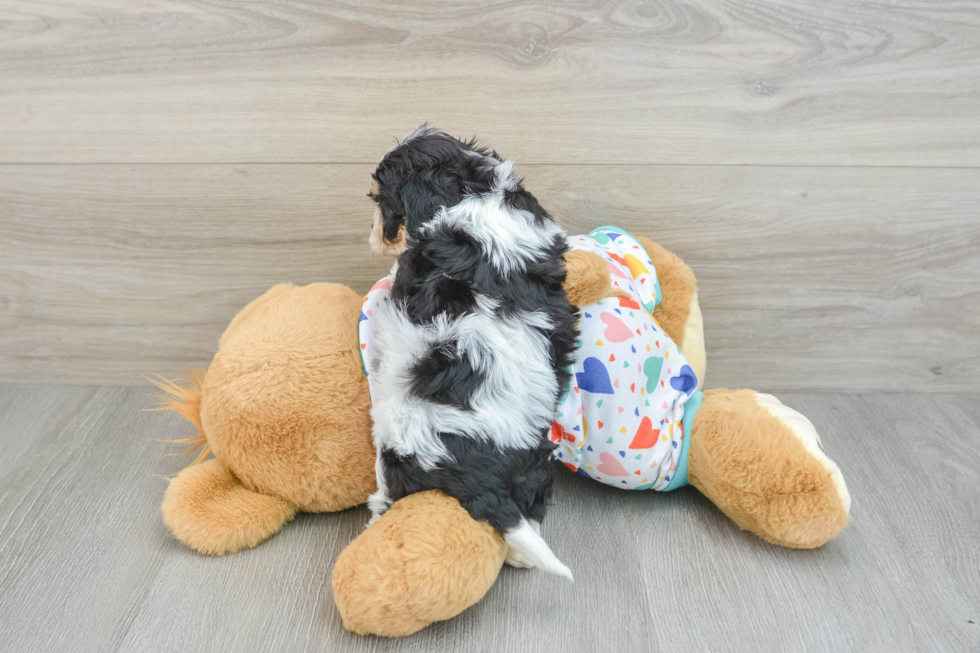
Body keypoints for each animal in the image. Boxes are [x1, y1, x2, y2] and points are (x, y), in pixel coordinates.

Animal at [368, 126, 580, 576]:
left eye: (382, 201)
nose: (377, 237)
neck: (473, 191)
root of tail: (476, 479)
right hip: (535, 462)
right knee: (533, 507)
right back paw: (521, 554)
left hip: (394, 453)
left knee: (387, 495)